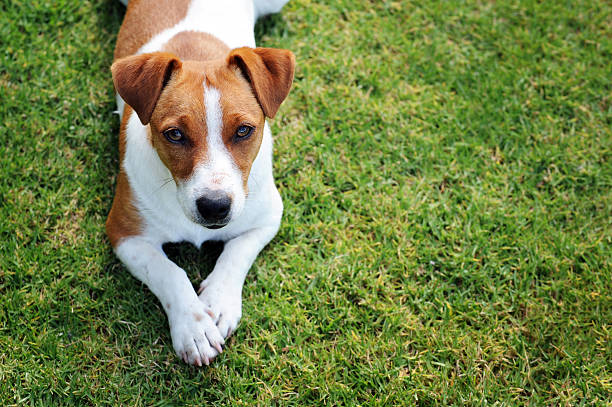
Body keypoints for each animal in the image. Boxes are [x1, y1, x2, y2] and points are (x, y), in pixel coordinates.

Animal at [106, 0, 296, 368]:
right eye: (174, 134)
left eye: (243, 130)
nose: (215, 207)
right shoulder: (125, 234)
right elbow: (168, 272)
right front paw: (193, 326)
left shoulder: (268, 218)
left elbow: (236, 253)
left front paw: (219, 303)